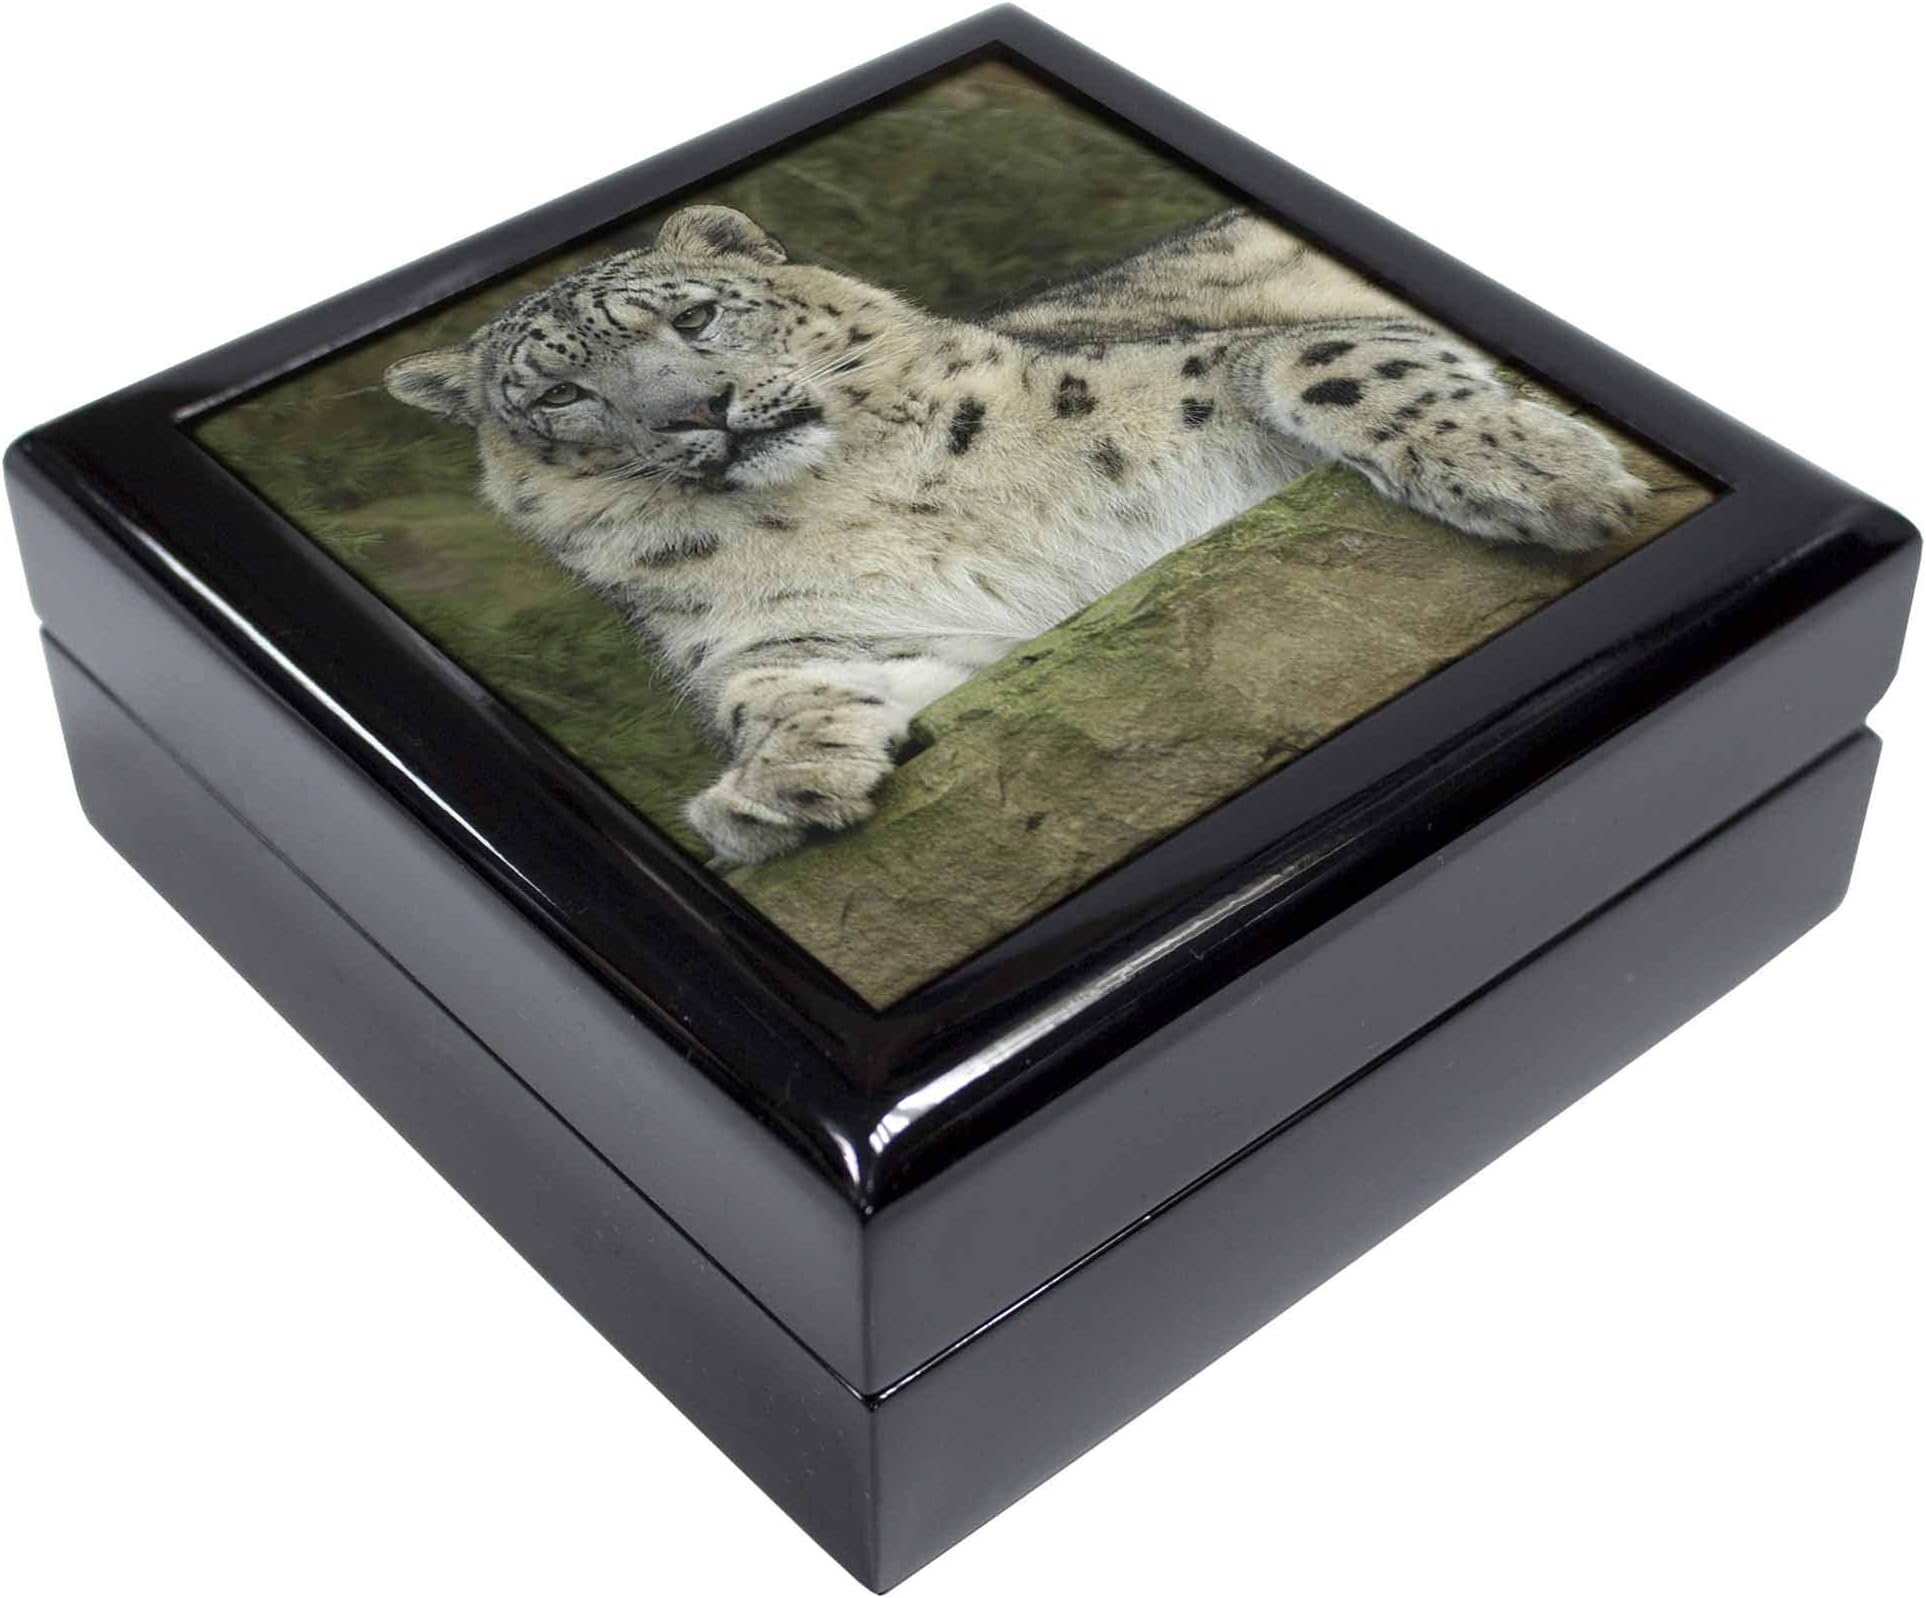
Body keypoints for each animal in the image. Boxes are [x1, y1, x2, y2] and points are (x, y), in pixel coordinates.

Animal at [386, 203, 1647, 866]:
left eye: (694, 316)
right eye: (559, 394)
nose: (697, 410)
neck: (863, 493)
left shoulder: (1227, 365)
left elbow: (1316, 353)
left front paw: (1538, 471)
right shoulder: (809, 637)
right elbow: (774, 684)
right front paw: (771, 785)